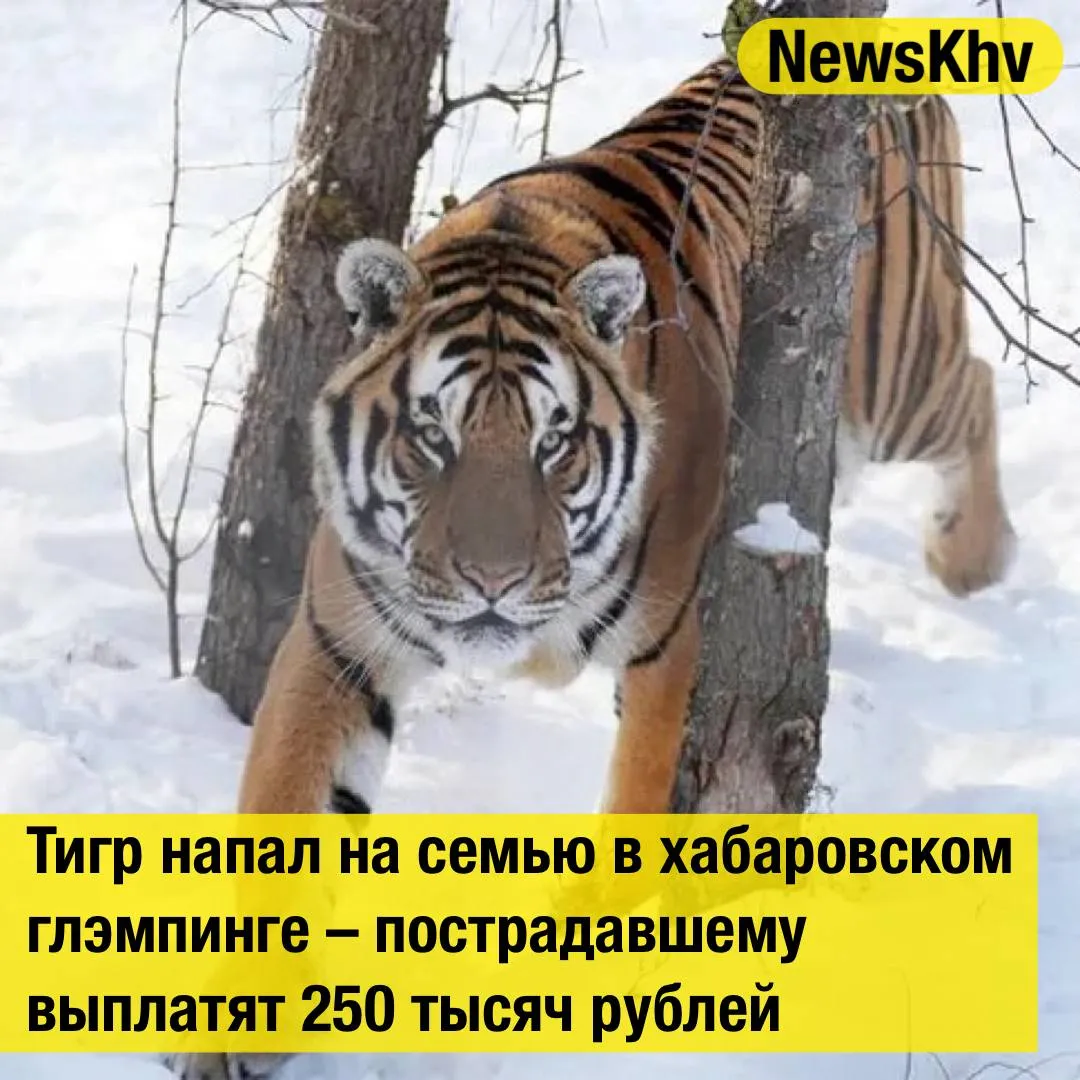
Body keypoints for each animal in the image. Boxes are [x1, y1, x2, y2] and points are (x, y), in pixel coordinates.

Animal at [170, 52, 1015, 1080]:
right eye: (432, 437)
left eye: (555, 442)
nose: (492, 582)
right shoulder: (342, 641)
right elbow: (286, 808)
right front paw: (235, 1033)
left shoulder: (673, 649)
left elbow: (636, 820)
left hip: (895, 382)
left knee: (974, 386)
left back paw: (972, 560)